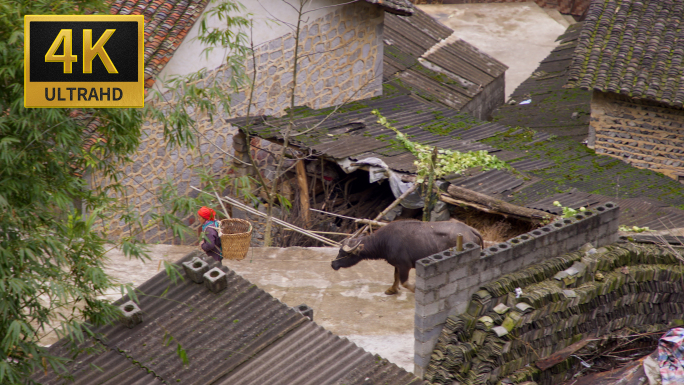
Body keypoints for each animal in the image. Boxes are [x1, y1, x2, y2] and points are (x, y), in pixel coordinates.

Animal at [330, 219, 480, 294]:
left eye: (343, 253)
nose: (333, 264)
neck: (384, 241)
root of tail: (470, 230)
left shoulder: (405, 265)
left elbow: (404, 282)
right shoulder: (398, 264)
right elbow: (395, 277)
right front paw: (392, 289)